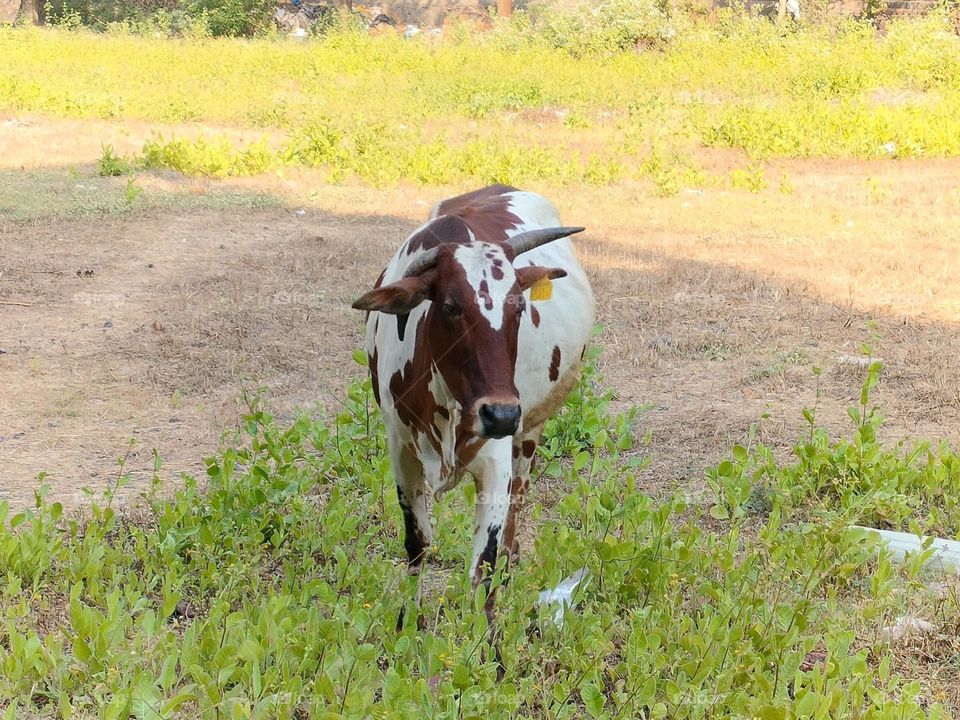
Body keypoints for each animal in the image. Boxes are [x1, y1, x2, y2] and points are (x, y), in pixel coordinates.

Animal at [352, 184, 595, 637]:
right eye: (450, 306)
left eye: (519, 307)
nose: (500, 415)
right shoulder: (401, 450)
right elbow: (417, 544)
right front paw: (411, 625)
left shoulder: (496, 459)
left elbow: (483, 564)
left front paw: (488, 646)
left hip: (528, 433)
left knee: (518, 502)